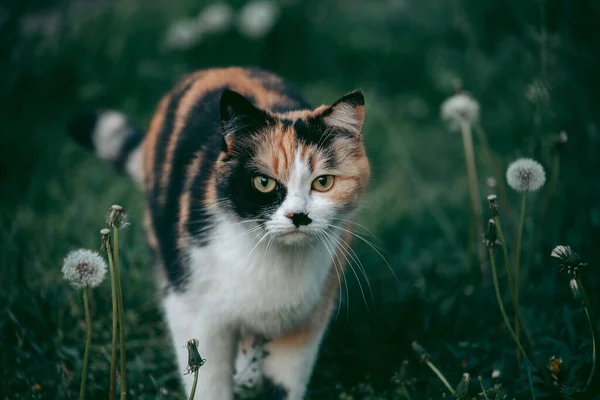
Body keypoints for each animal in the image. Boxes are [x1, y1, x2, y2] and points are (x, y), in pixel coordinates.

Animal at [70, 67, 370, 398]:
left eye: (323, 182)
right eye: (263, 182)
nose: (299, 216)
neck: (273, 258)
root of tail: (217, 69)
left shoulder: (306, 325)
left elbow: (284, 386)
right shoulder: (194, 310)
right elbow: (208, 383)